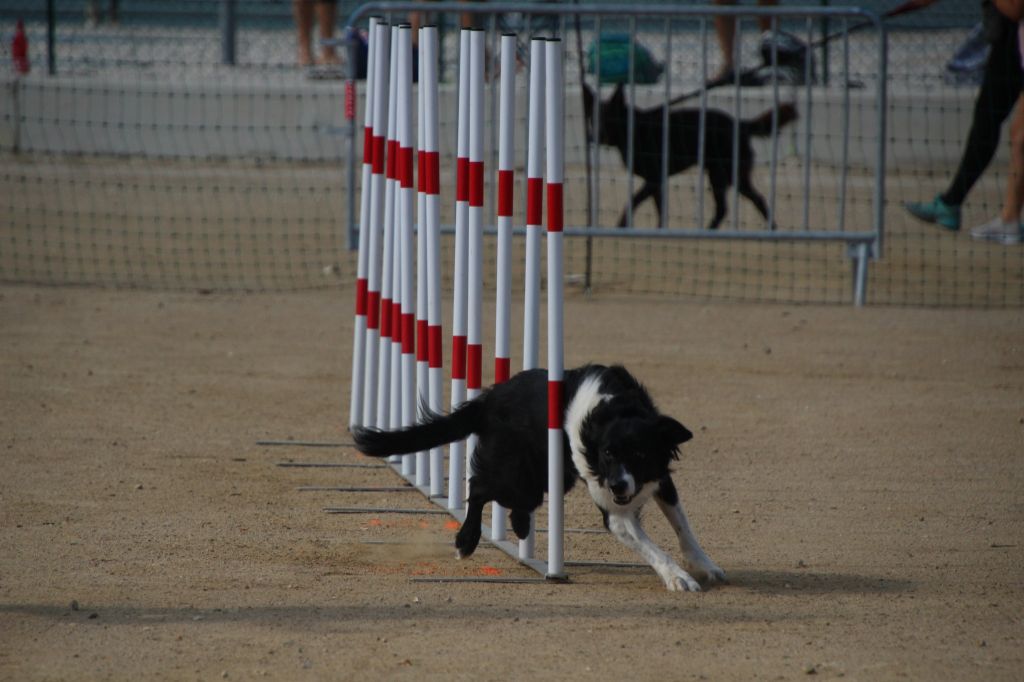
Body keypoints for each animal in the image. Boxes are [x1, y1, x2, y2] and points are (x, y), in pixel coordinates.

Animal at [356, 360, 724, 589]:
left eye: (640, 454)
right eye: (607, 453)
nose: (618, 485)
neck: (615, 408)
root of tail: (491, 397)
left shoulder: (658, 477)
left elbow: (683, 527)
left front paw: (704, 565)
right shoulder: (614, 509)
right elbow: (651, 547)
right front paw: (677, 577)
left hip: (549, 476)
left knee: (511, 499)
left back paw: (519, 527)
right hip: (520, 474)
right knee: (479, 486)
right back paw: (466, 541)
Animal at [581, 82, 794, 228]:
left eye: (609, 119)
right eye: (592, 119)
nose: (593, 137)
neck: (631, 128)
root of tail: (739, 124)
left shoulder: (653, 179)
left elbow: (633, 200)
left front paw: (622, 224)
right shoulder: (656, 182)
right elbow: (660, 208)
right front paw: (659, 230)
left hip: (723, 175)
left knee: (731, 206)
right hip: (730, 177)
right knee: (748, 201)